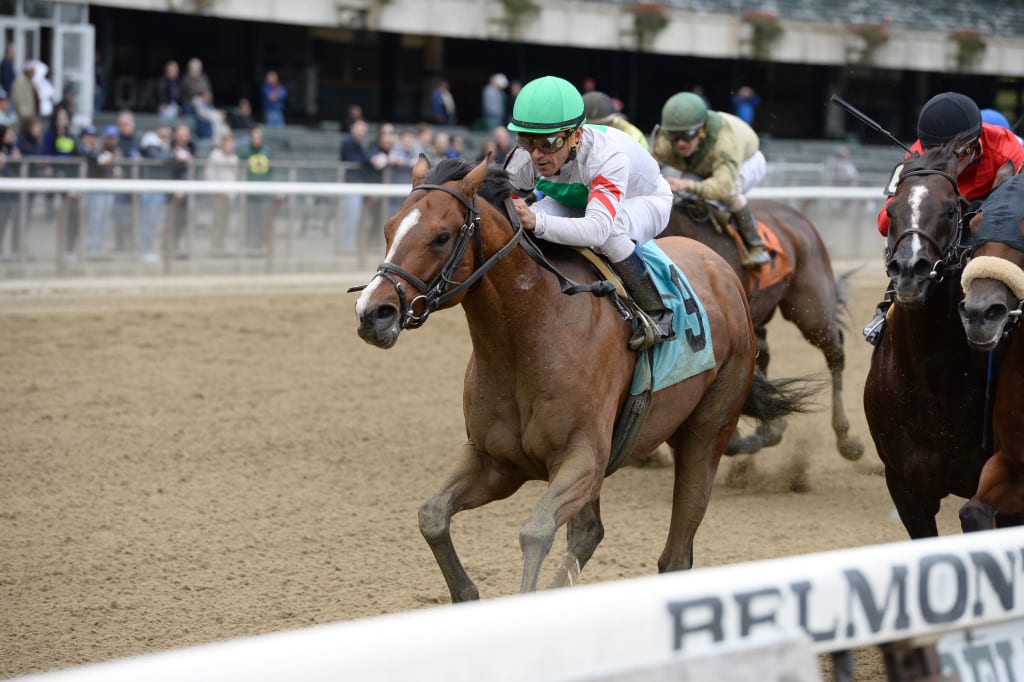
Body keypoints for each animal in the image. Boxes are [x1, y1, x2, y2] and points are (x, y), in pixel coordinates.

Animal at [352, 155, 806, 602]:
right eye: (390, 228)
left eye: (442, 237)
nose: (374, 313)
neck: (527, 335)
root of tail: (724, 272)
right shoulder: (495, 460)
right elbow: (432, 515)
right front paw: (467, 594)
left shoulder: (582, 457)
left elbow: (535, 532)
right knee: (589, 533)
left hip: (707, 430)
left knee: (676, 552)